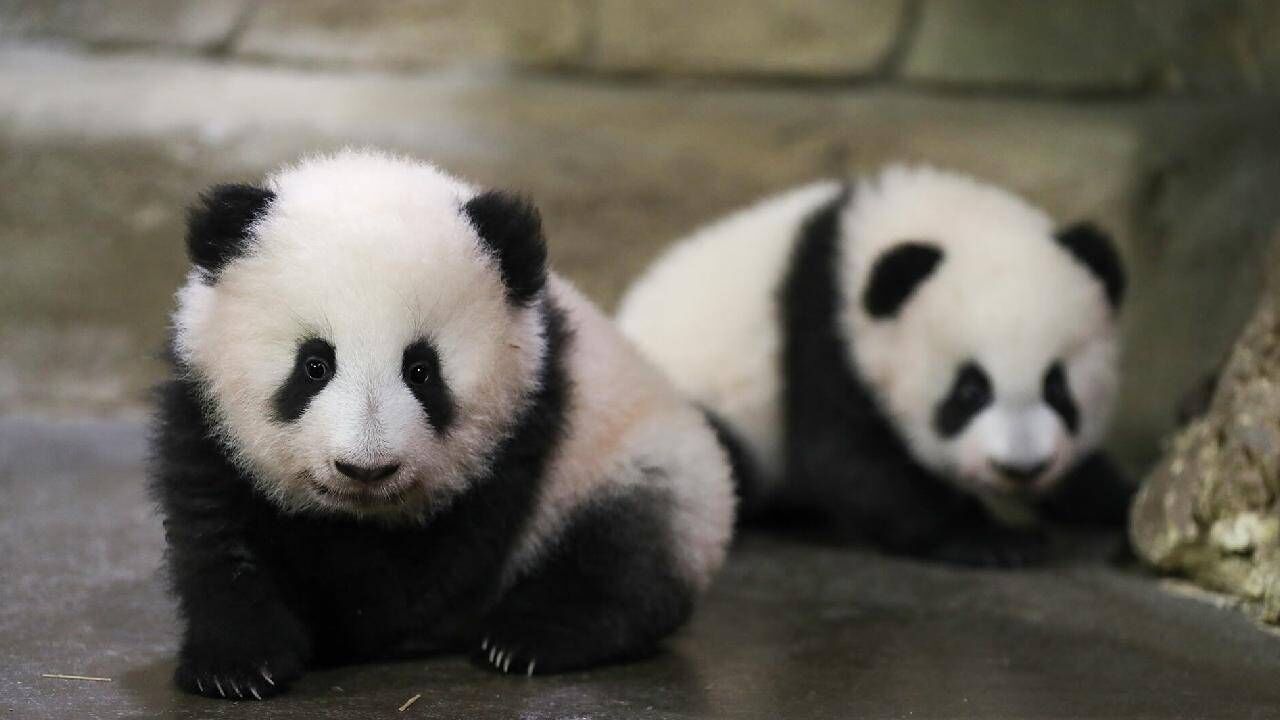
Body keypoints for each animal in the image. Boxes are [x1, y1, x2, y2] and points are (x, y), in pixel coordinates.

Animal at [151, 149, 734, 700]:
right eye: (314, 365)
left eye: (421, 370)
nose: (366, 469)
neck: (357, 514)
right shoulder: (203, 416)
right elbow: (217, 535)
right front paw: (237, 666)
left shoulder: (523, 429)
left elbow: (424, 576)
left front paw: (342, 627)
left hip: (634, 459)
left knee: (624, 554)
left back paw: (529, 636)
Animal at [616, 165, 1130, 567]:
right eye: (970, 391)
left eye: (1058, 387)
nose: (1021, 468)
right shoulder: (825, 333)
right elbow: (851, 461)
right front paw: (995, 540)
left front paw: (1112, 500)